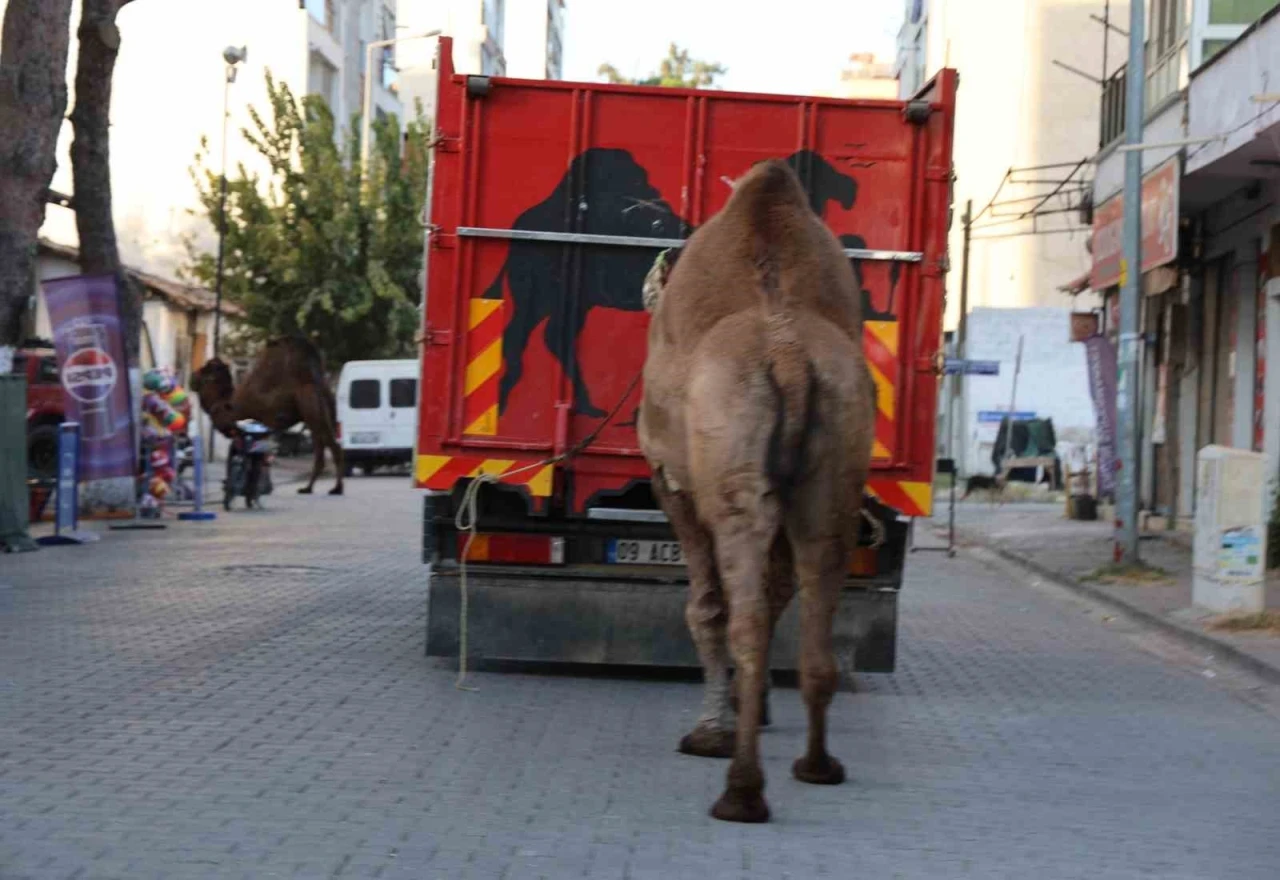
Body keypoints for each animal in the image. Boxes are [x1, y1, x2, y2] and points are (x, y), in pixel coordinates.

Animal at [189, 335, 345, 496]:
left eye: (205, 371)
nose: (192, 378)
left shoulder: (259, 421)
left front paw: (249, 485)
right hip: (323, 412)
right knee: (323, 449)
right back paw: (308, 488)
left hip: (313, 410)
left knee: (332, 447)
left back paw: (335, 488)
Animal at [640, 159, 880, 823]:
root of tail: (789, 355)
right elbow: (776, 595)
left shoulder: (671, 478)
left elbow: (705, 606)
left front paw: (711, 730)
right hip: (834, 469)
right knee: (814, 610)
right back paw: (817, 765)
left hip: (735, 474)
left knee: (742, 614)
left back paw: (741, 789)